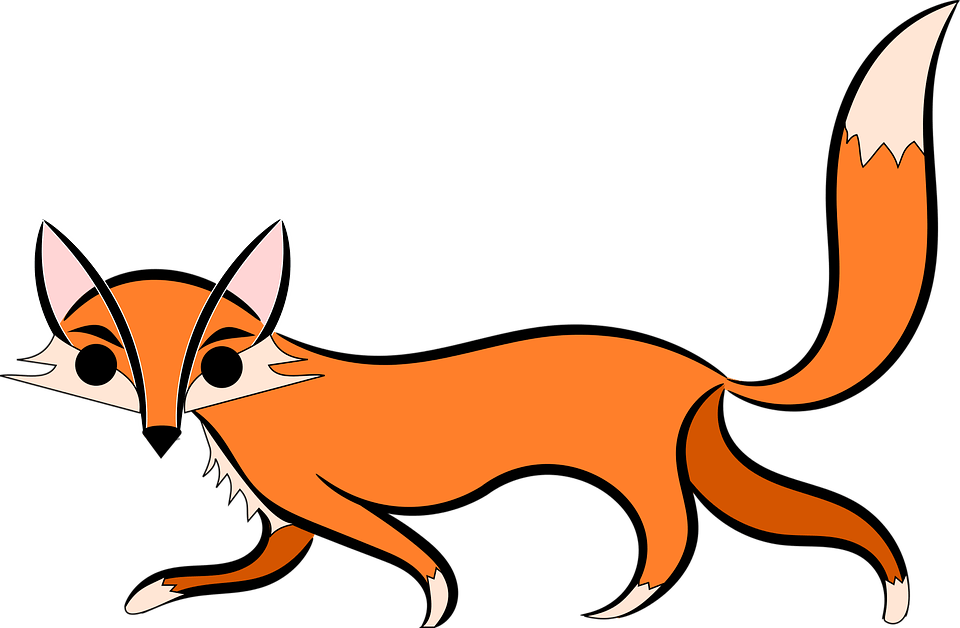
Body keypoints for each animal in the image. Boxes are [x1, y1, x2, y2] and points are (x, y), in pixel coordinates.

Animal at [2, 2, 955, 626]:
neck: (259, 395)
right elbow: (239, 569)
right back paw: (892, 590)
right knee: (811, 520)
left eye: (218, 363)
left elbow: (417, 561)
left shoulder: (316, 496)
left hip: (644, 473)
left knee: (676, 538)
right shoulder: (285, 521)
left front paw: (433, 606)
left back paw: (625, 604)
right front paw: (153, 592)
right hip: (707, 463)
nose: (160, 434)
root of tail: (705, 371)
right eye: (100, 366)